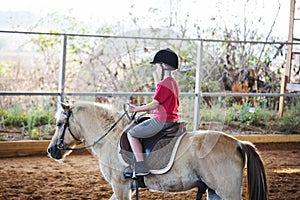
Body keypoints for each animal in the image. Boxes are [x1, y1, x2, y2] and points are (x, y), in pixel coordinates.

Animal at [47, 101, 268, 200]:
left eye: (59, 124)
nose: (51, 150)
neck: (110, 138)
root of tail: (238, 143)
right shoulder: (123, 188)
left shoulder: (120, 185)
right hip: (215, 191)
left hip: (227, 190)